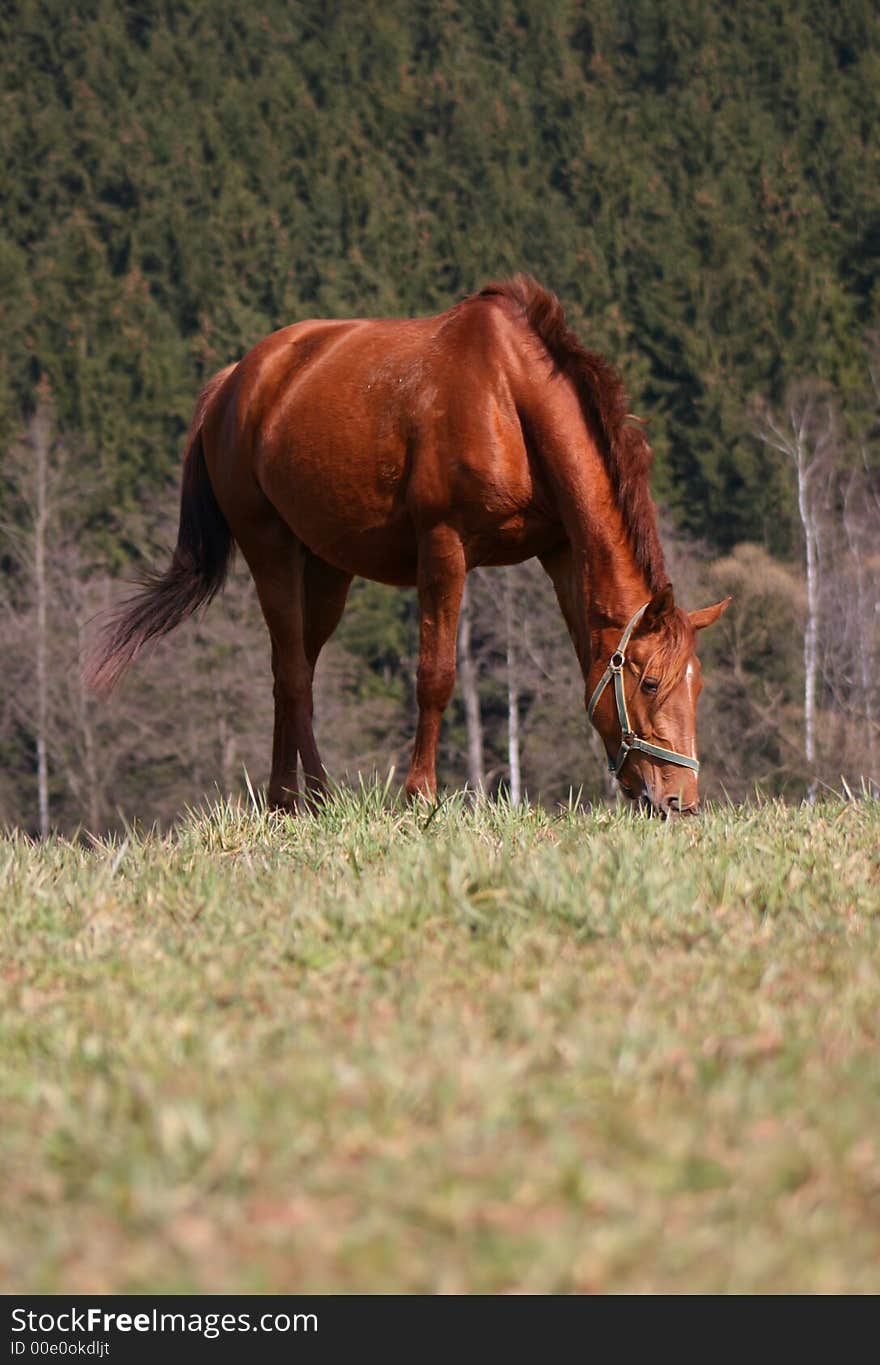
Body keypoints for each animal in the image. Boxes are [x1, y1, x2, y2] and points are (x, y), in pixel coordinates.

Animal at [85, 274, 725, 808]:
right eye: (651, 681)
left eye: (697, 684)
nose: (680, 801)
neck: (510, 397)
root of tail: (235, 381)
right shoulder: (443, 547)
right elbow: (435, 675)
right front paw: (421, 795)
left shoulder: (563, 552)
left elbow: (583, 657)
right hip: (270, 550)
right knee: (292, 673)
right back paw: (316, 795)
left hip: (327, 569)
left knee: (290, 673)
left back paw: (284, 798)